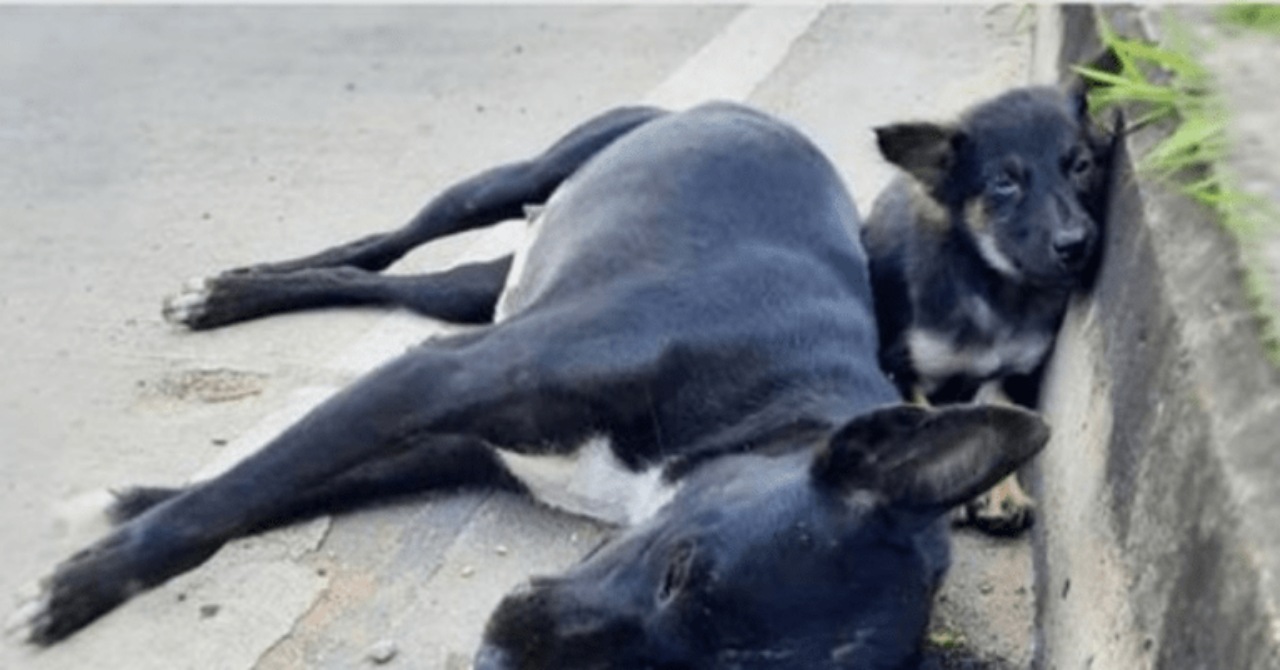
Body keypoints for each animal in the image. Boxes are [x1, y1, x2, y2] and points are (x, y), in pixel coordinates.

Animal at [12, 102, 1049, 666]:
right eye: (680, 569)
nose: (495, 654)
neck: (765, 409)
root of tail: (753, 113)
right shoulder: (439, 380)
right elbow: (245, 486)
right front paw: (86, 587)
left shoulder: (467, 442)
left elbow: (275, 488)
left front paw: (127, 508)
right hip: (514, 178)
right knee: (387, 241)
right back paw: (227, 294)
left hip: (491, 281)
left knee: (396, 283)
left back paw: (240, 296)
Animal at [865, 85, 1116, 535]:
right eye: (1004, 182)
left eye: (1081, 165)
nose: (1075, 244)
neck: (998, 288)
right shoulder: (899, 366)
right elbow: (924, 417)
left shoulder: (1013, 371)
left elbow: (998, 414)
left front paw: (1002, 493)